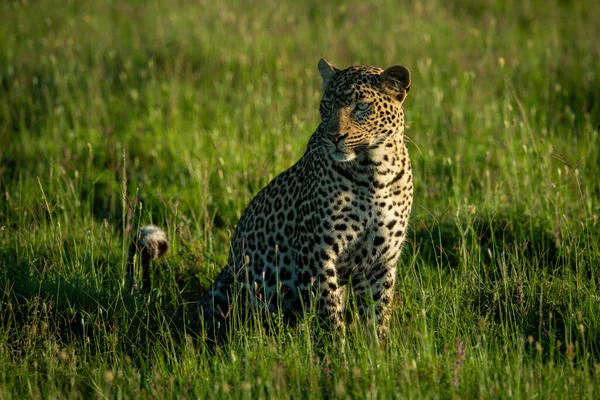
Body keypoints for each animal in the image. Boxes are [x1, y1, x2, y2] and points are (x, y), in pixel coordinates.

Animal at [131, 57, 412, 342]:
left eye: (361, 106)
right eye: (327, 105)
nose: (334, 137)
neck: (374, 172)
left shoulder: (381, 261)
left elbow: (376, 314)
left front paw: (376, 348)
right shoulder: (317, 253)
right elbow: (329, 313)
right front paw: (337, 349)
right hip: (230, 287)